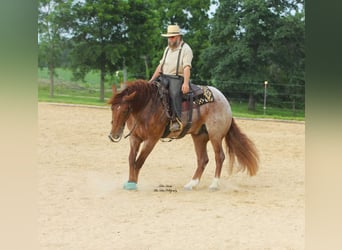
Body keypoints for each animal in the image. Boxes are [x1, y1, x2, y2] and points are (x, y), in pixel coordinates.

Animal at [108, 79, 258, 190]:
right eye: (112, 108)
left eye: (125, 109)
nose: (113, 135)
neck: (147, 106)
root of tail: (225, 101)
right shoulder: (135, 138)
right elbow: (131, 160)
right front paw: (130, 181)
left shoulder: (152, 139)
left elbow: (139, 161)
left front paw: (133, 184)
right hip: (199, 136)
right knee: (203, 159)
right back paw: (191, 184)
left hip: (215, 136)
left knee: (219, 157)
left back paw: (214, 184)